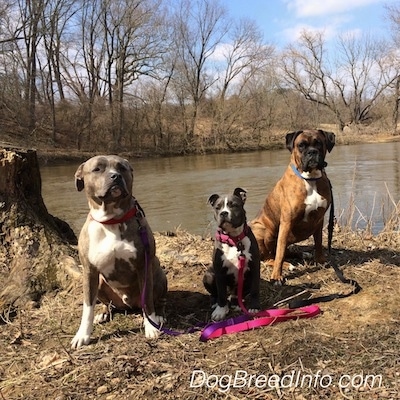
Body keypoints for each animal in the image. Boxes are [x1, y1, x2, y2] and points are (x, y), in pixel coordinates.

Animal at [70, 155, 167, 348]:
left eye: (122, 168)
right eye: (97, 169)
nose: (115, 176)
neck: (111, 220)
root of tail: (127, 305)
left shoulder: (143, 266)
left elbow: (148, 301)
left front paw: (150, 327)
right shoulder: (89, 271)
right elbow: (87, 307)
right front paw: (83, 335)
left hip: (158, 273)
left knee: (156, 299)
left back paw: (158, 316)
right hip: (100, 282)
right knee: (108, 305)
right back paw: (103, 313)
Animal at [203, 188, 262, 322]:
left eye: (234, 205)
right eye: (217, 207)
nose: (224, 213)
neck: (234, 239)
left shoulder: (255, 267)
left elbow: (255, 290)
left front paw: (254, 307)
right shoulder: (219, 271)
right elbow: (221, 294)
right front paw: (220, 310)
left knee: (237, 294)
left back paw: (237, 303)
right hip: (208, 275)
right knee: (217, 294)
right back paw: (216, 303)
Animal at [253, 130, 334, 282]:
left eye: (319, 143)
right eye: (301, 145)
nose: (312, 152)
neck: (310, 178)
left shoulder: (319, 220)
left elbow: (319, 242)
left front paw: (320, 260)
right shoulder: (286, 222)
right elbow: (280, 253)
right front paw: (277, 276)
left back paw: (302, 255)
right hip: (263, 230)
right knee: (269, 257)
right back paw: (286, 264)